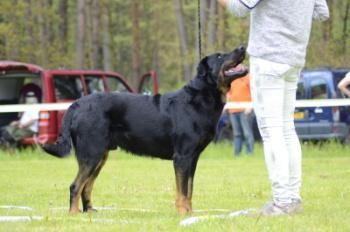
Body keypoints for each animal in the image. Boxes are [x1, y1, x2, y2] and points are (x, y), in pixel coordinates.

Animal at [42, 45, 247, 216]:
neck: (201, 97)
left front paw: (190, 213)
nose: (242, 47)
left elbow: (189, 189)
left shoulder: (193, 157)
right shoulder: (182, 157)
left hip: (100, 156)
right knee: (76, 185)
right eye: (220, 56)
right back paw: (73, 215)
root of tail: (77, 104)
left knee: (86, 186)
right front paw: (183, 214)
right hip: (91, 153)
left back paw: (89, 212)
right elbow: (181, 190)